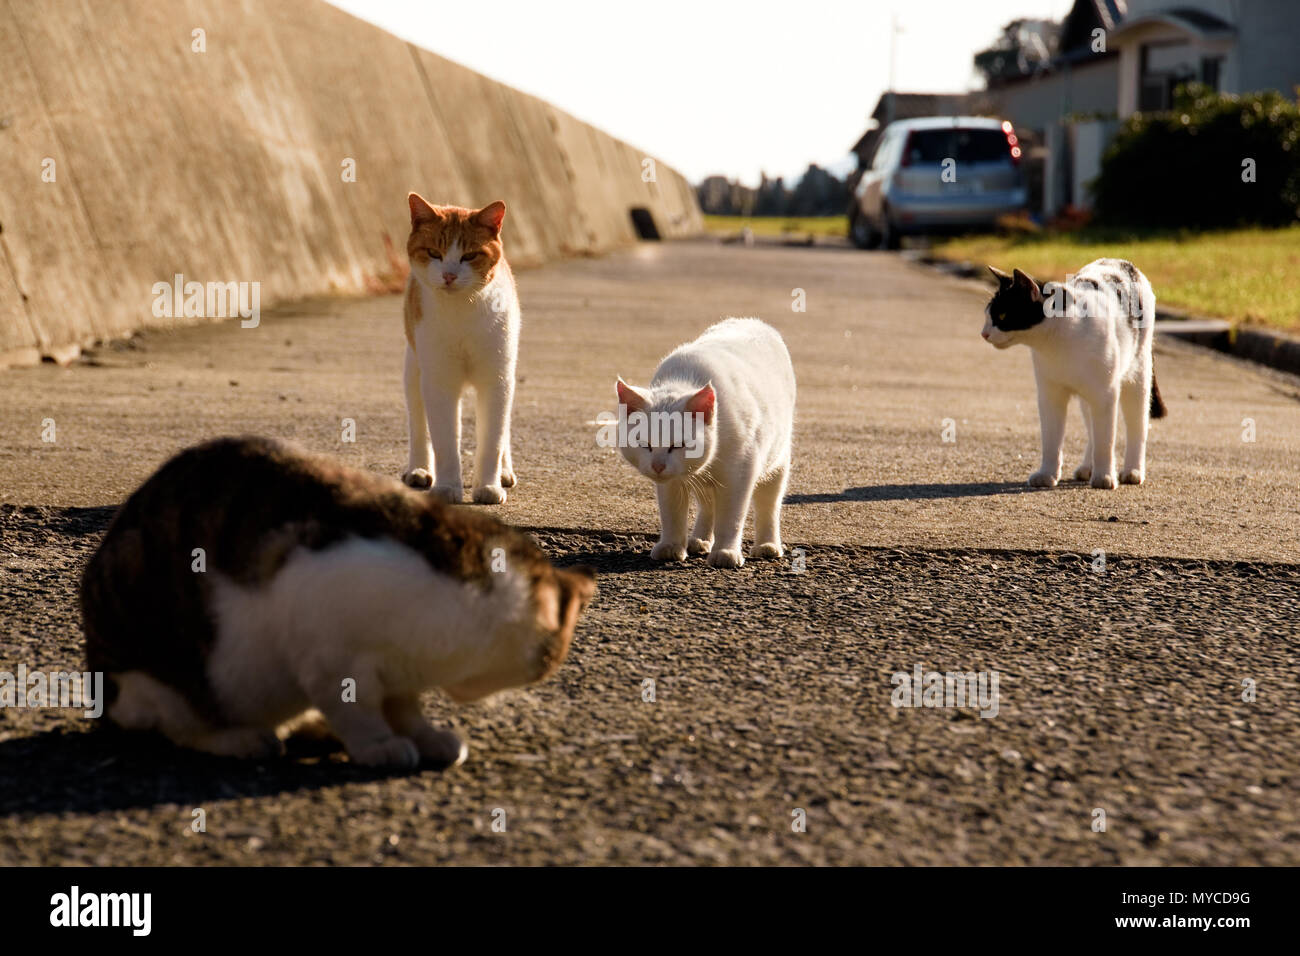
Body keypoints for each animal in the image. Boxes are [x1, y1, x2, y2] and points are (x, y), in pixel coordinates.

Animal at [400, 195, 517, 509]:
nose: (449, 275)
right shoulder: (439, 382)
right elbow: (444, 440)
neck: (461, 311)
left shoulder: (496, 379)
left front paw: (487, 487)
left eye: (469, 256)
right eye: (434, 253)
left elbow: (492, 439)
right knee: (419, 426)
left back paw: (504, 472)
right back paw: (419, 470)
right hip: (414, 372)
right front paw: (447, 488)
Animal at [616, 317, 795, 567]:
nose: (658, 466)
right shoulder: (672, 481)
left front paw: (726, 552)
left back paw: (767, 545)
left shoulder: (739, 474)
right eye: (645, 444)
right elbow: (672, 513)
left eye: (678, 445)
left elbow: (731, 517)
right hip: (702, 480)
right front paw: (671, 546)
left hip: (777, 462)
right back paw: (700, 540)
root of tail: (753, 321)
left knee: (768, 505)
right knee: (708, 504)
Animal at [982, 257, 1170, 489]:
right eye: (987, 315)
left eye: (1001, 315)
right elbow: (1052, 441)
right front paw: (1047, 475)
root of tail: (1122, 261)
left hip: (1137, 379)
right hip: (1087, 398)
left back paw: (1132, 471)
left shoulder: (1105, 394)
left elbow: (1105, 440)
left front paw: (1104, 477)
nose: (984, 333)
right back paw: (1087, 468)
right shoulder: (1050, 396)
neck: (1057, 341)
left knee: (1137, 428)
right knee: (1091, 430)